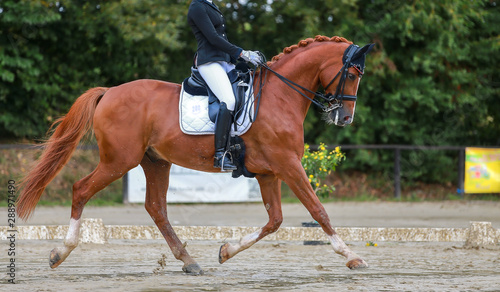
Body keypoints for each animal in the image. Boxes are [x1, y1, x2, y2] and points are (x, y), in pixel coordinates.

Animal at [17, 35, 374, 274]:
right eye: (351, 75)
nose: (345, 118)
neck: (279, 96)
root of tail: (109, 92)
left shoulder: (268, 172)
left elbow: (274, 221)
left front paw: (226, 251)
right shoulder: (288, 165)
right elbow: (318, 211)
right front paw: (351, 256)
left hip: (155, 161)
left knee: (156, 208)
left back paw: (189, 261)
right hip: (119, 161)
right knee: (82, 189)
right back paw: (60, 253)